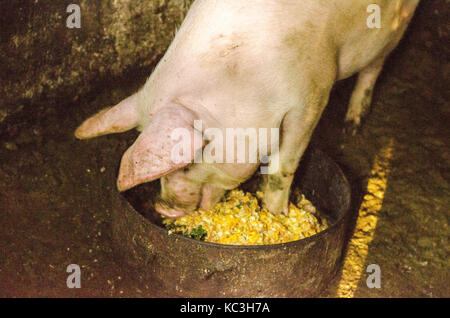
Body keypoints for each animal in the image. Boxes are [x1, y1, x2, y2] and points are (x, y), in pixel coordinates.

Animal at [75, 0, 420, 217]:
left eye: (186, 165)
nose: (163, 207)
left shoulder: (312, 93)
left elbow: (283, 167)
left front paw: (277, 215)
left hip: (393, 27)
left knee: (375, 66)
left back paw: (353, 124)